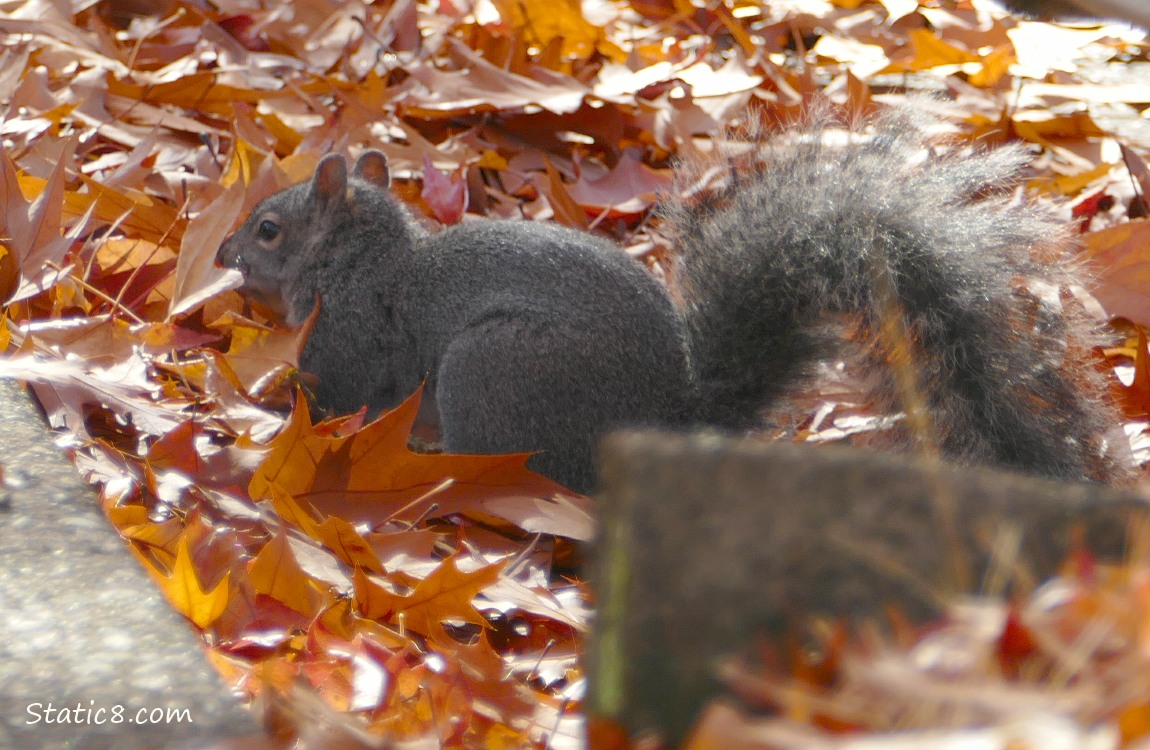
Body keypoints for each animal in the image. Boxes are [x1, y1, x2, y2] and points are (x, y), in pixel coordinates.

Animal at [213, 105, 1122, 492]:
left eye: (268, 229)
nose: (221, 254)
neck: (361, 260)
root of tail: (665, 417)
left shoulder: (353, 341)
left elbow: (332, 393)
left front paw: (263, 403)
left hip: (494, 369)